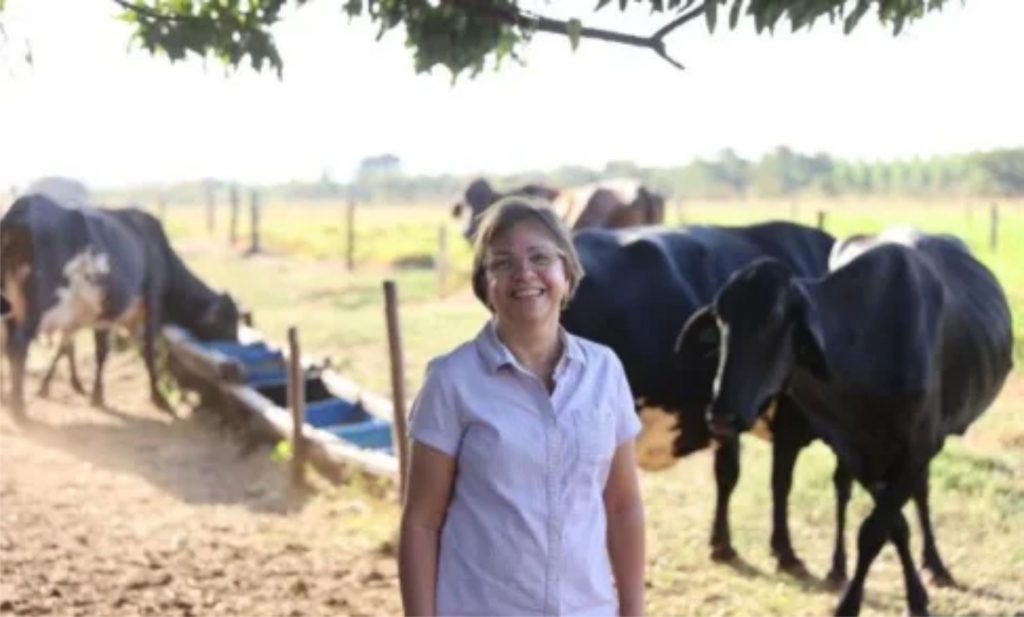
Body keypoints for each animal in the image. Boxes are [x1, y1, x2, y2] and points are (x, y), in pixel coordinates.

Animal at [1, 194, 239, 415]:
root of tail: (19, 211)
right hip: (38, 306)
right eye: (229, 322)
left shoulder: (104, 315)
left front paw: (93, 394)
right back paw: (18, 410)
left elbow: (96, 351)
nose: (236, 345)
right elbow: (149, 352)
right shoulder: (153, 303)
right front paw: (159, 398)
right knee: (17, 346)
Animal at [692, 229, 1011, 613]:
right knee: (848, 490)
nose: (722, 413)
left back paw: (935, 564)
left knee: (920, 493)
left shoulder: (919, 446)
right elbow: (893, 525)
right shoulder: (854, 449)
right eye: (721, 322)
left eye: (774, 321)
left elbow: (875, 529)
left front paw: (859, 602)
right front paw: (913, 594)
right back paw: (840, 567)